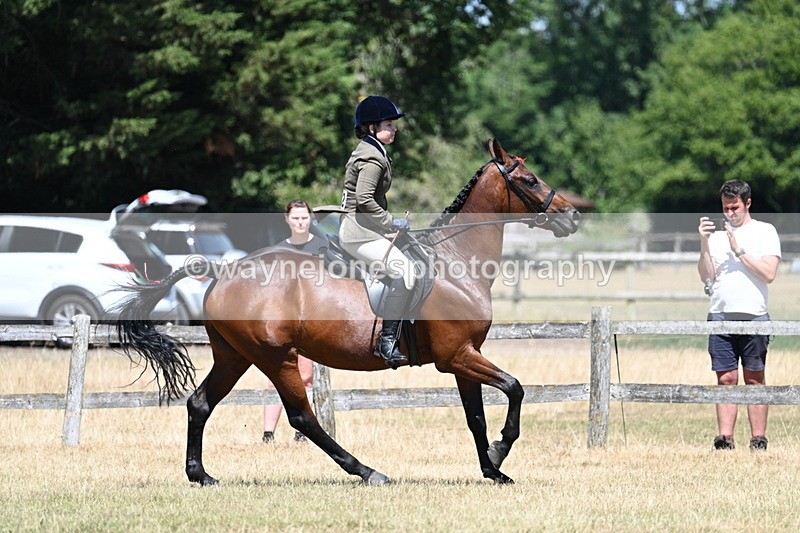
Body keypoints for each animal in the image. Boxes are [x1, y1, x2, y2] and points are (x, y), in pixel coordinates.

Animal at [114, 139, 581, 486]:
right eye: (529, 179)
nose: (572, 216)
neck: (456, 262)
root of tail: (223, 271)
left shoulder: (465, 356)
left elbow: (476, 417)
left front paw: (493, 469)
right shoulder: (457, 356)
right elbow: (515, 388)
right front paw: (501, 451)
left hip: (235, 355)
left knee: (200, 403)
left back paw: (201, 475)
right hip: (276, 357)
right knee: (303, 417)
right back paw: (367, 471)